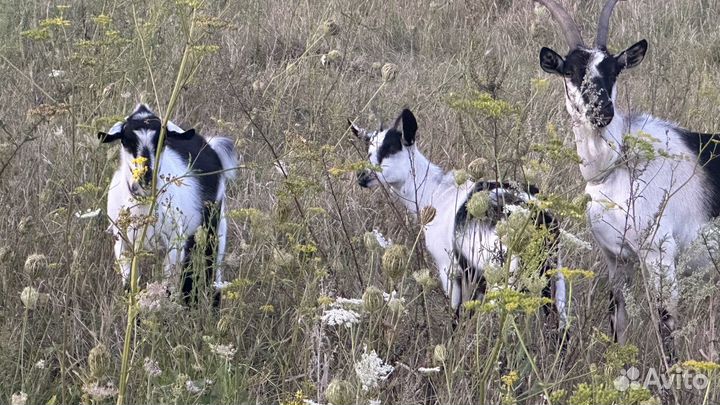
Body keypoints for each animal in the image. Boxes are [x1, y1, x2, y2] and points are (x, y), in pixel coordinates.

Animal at [98, 104, 238, 306]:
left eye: (162, 140)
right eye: (126, 140)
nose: (146, 177)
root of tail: (210, 145)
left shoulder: (173, 242)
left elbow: (166, 286)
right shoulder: (122, 242)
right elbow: (130, 285)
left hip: (214, 228)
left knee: (210, 274)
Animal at [352, 108, 564, 326]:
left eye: (389, 150)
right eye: (369, 151)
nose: (362, 176)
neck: (438, 193)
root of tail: (540, 217)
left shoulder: (449, 269)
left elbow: (455, 312)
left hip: (506, 276)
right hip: (551, 275)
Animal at [536, 0, 720, 358]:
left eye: (614, 70)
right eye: (570, 71)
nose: (602, 111)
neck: (617, 167)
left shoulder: (660, 254)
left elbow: (665, 324)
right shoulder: (616, 258)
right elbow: (616, 318)